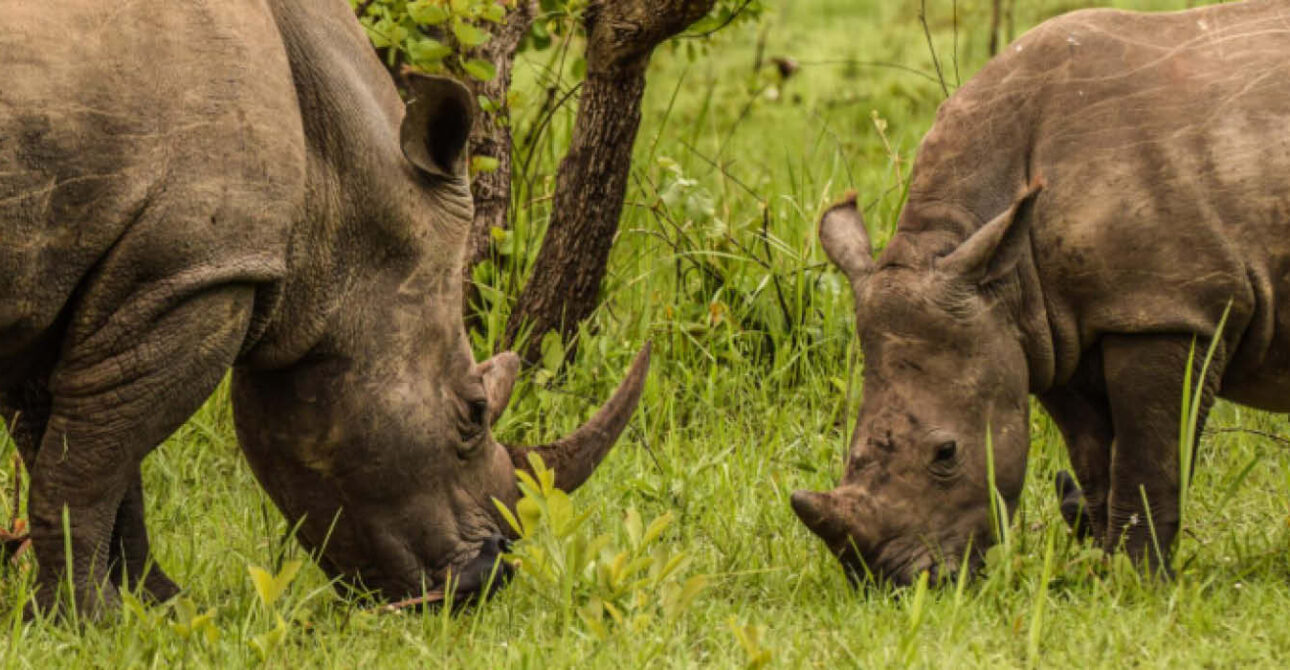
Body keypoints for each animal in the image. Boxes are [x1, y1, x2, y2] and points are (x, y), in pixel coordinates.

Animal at [0, 0, 649, 615]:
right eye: (473, 413)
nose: (485, 581)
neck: (336, 178)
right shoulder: (193, 273)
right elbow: (88, 466)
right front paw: (88, 620)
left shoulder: (95, 282)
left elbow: (87, 456)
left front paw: (156, 607)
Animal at [792, 0, 1290, 585]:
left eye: (946, 453)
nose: (890, 582)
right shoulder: (1051, 330)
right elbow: (1096, 463)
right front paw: (1107, 572)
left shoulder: (1167, 310)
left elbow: (1147, 462)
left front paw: (1141, 584)